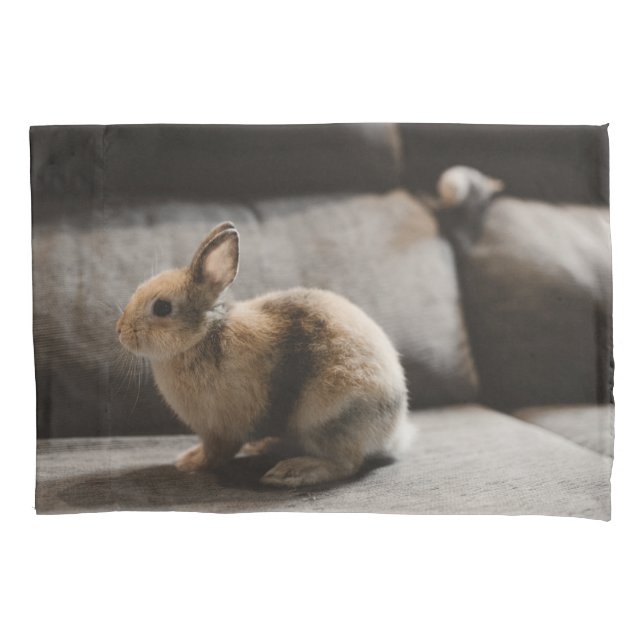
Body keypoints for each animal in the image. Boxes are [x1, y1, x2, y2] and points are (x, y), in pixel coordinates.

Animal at [116, 221, 414, 488]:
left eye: (162, 308)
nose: (120, 331)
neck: (203, 335)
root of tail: (395, 429)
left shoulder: (220, 429)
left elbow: (216, 453)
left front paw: (189, 463)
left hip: (328, 419)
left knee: (346, 464)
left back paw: (291, 472)